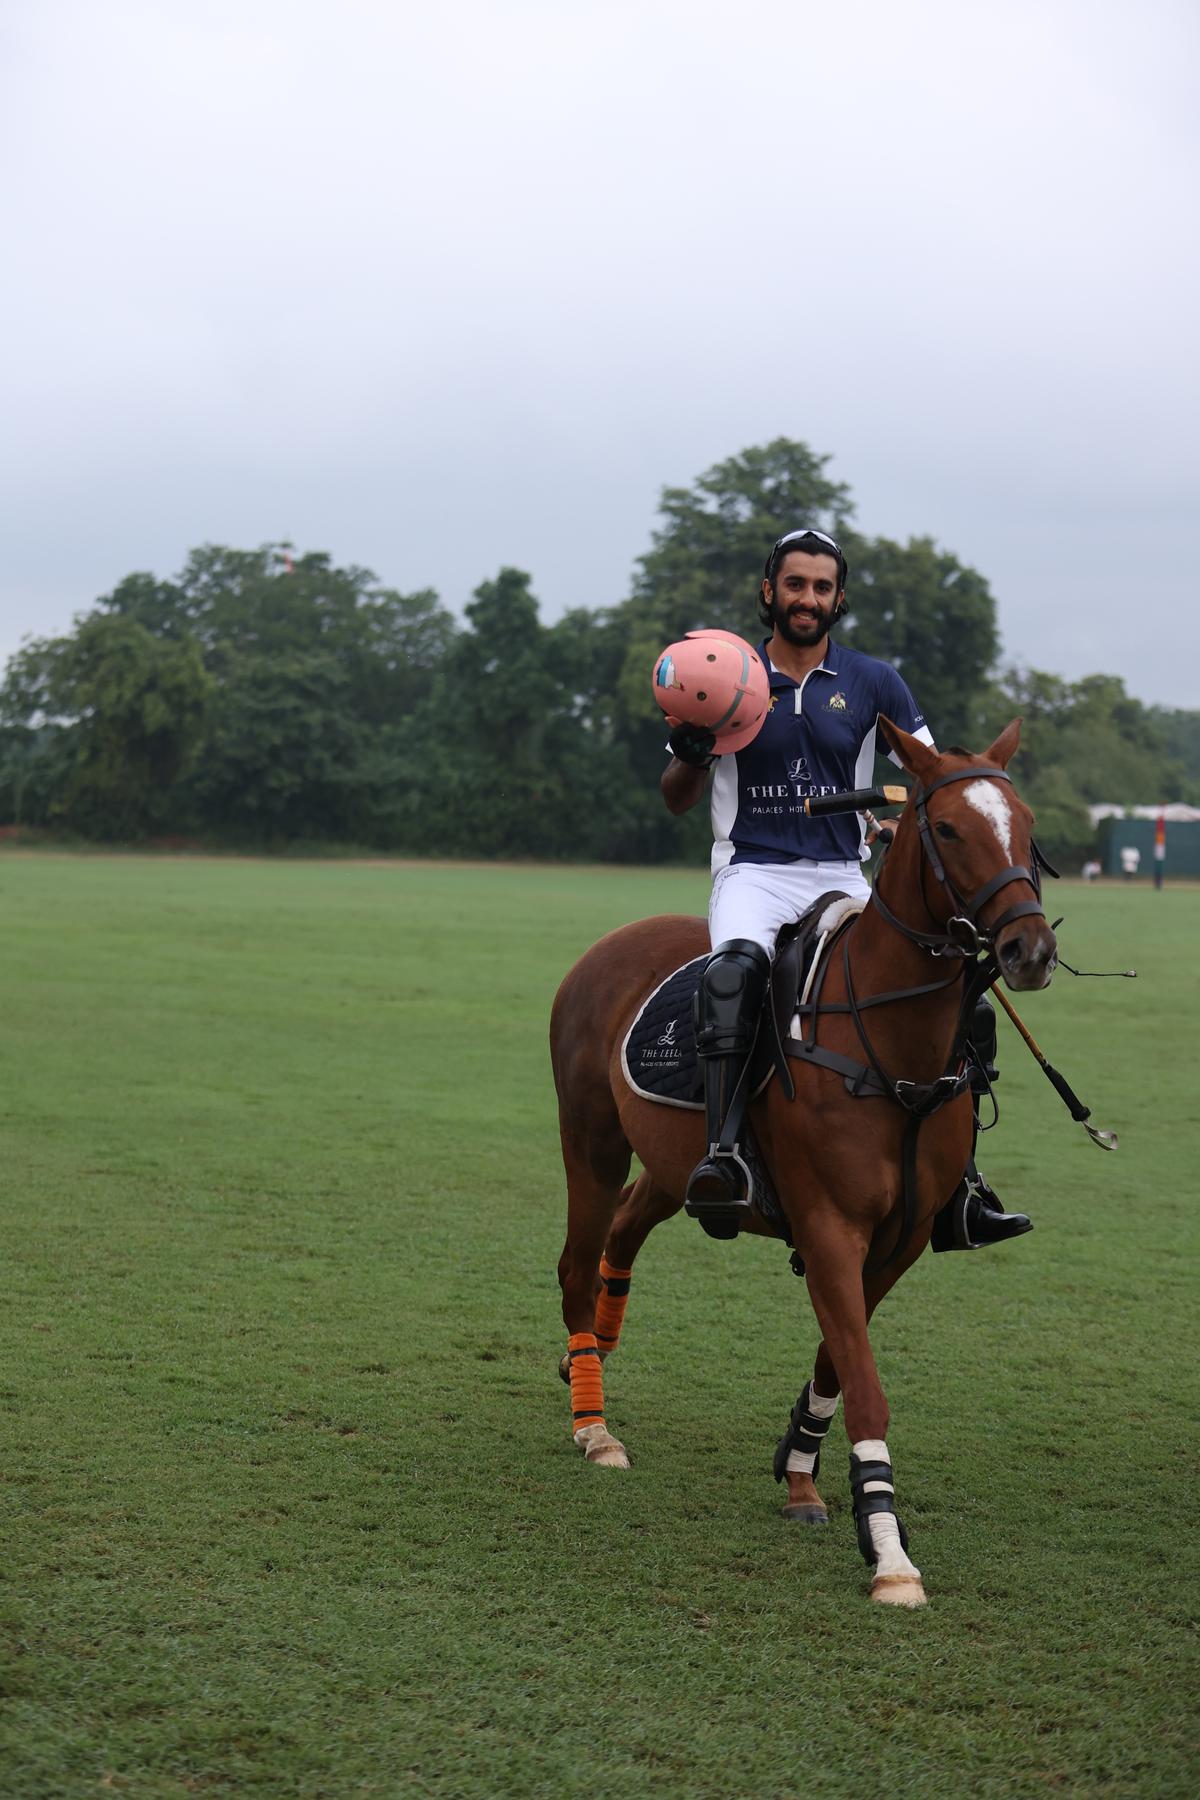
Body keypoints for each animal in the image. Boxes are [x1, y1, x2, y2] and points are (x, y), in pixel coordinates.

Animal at [550, 716, 1057, 1605]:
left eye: (1025, 826)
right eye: (948, 829)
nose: (1029, 948)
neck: (894, 1047)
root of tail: (609, 944)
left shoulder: (898, 1239)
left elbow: (837, 1362)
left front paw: (798, 1472)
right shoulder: (829, 1227)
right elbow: (866, 1385)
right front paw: (890, 1556)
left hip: (675, 1166)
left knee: (625, 1231)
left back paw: (599, 1355)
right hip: (592, 1141)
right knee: (577, 1263)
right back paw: (594, 1424)